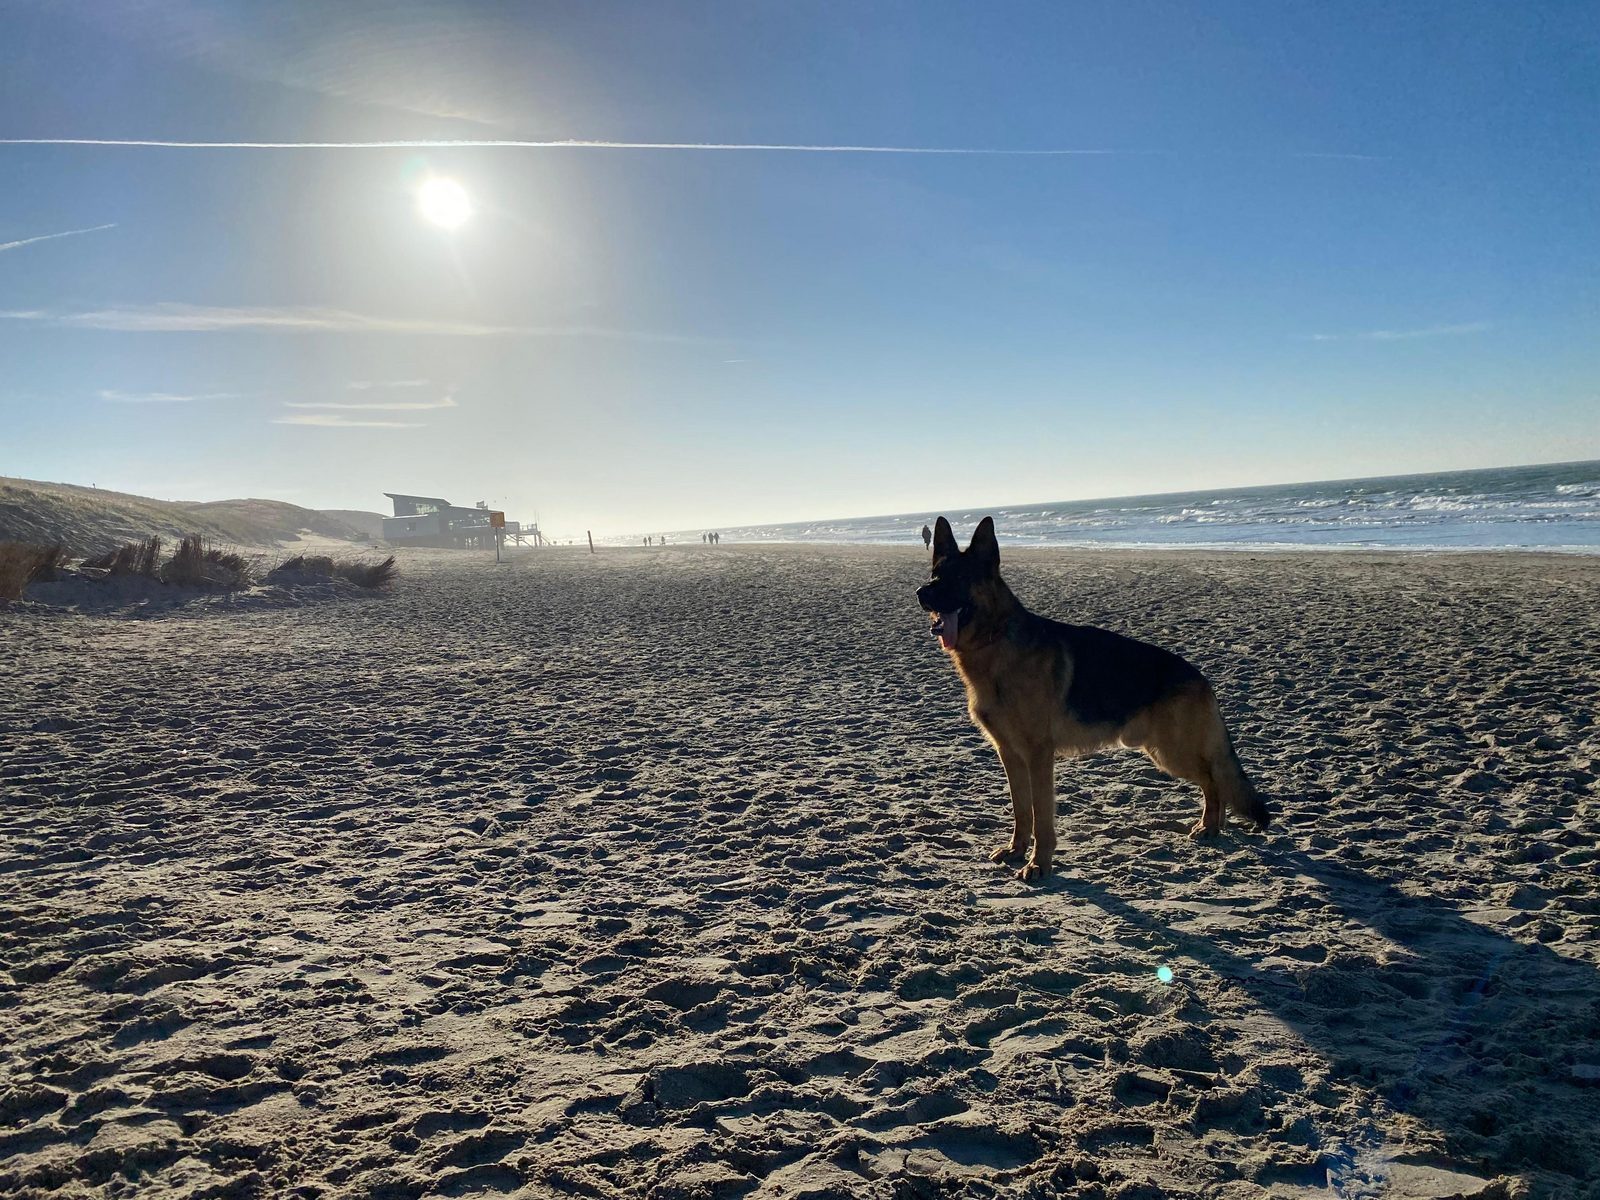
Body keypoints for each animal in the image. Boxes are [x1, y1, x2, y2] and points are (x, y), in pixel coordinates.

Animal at [921, 518, 1267, 883]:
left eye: (960, 578)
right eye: (935, 575)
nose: (921, 593)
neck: (996, 639)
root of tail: (1199, 675)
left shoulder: (1038, 756)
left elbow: (1041, 816)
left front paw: (1039, 864)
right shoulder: (1010, 755)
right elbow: (1022, 811)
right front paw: (1017, 850)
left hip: (1172, 753)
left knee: (1214, 780)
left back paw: (1209, 826)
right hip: (1167, 752)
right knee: (1214, 781)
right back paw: (1213, 827)